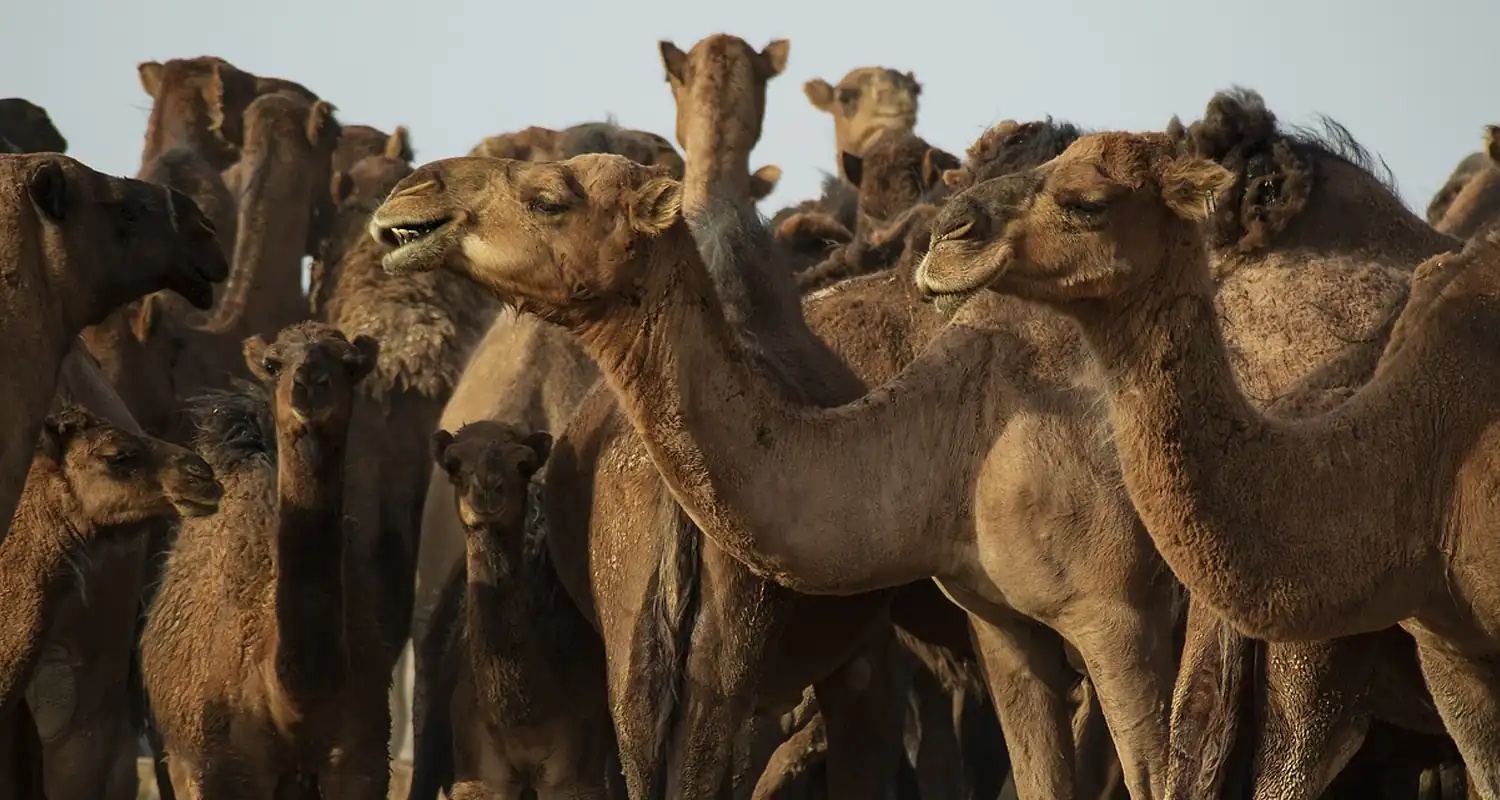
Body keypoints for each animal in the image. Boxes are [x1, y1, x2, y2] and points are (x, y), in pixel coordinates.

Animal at [141, 321, 393, 792]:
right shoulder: (228, 767)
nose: (309, 384)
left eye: (350, 365)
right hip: (181, 760)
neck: (297, 700)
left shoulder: (361, 762)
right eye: (274, 364)